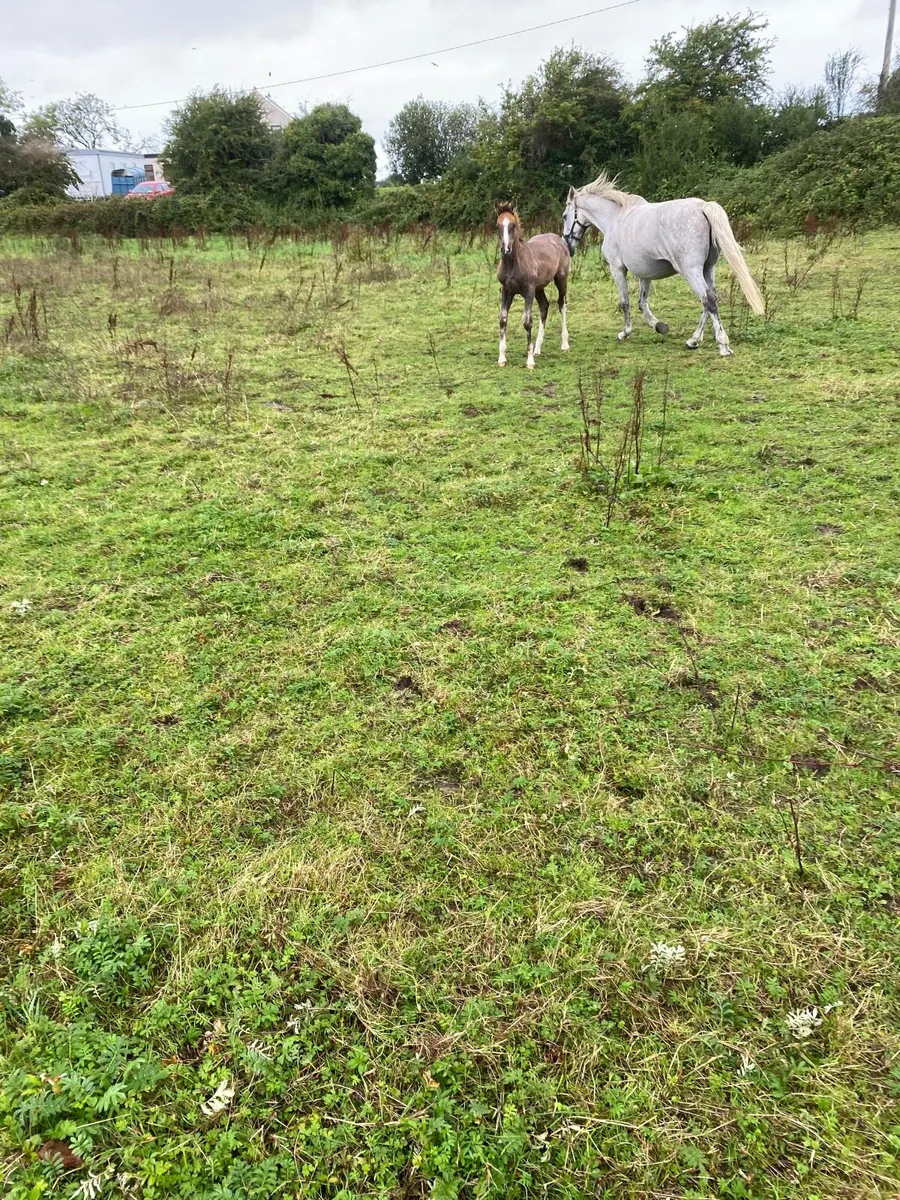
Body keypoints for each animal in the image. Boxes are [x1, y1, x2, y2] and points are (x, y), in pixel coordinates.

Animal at [495, 203, 570, 370]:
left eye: (513, 225)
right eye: (498, 226)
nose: (506, 249)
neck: (513, 264)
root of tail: (559, 240)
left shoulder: (528, 291)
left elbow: (527, 322)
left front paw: (529, 361)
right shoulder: (507, 290)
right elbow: (503, 319)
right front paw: (502, 358)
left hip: (561, 279)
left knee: (562, 304)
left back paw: (564, 344)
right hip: (539, 288)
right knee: (544, 306)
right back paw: (537, 348)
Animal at [561, 173, 764, 356]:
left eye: (564, 216)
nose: (568, 245)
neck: (615, 219)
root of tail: (703, 207)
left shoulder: (617, 269)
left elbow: (625, 302)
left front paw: (625, 333)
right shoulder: (646, 274)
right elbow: (642, 303)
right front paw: (660, 326)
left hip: (691, 271)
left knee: (708, 300)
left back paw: (722, 345)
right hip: (707, 269)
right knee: (710, 299)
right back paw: (694, 340)